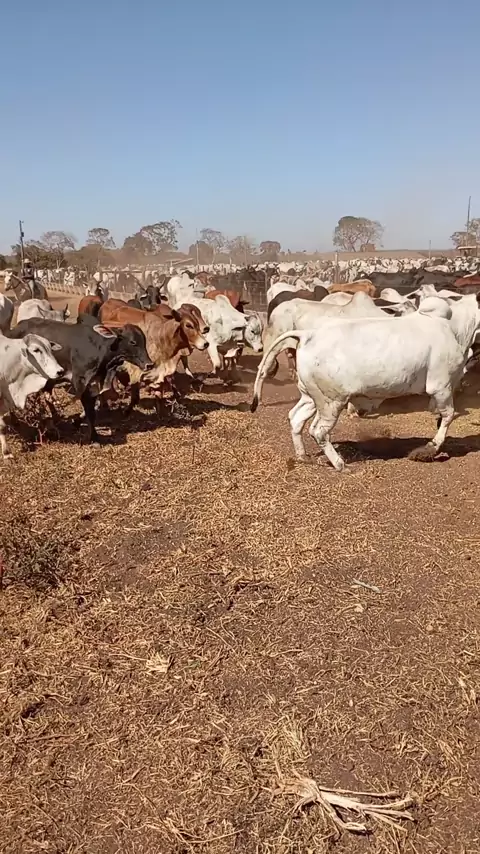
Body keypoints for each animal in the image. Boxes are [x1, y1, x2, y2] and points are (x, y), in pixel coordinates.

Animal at [7, 317, 153, 443]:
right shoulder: (80, 381)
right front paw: (94, 438)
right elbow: (89, 411)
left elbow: (92, 408)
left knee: (47, 394)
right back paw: (15, 422)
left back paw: (55, 419)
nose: (149, 364)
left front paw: (78, 421)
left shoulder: (95, 382)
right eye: (133, 342)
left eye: (144, 341)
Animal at [251, 294, 480, 470]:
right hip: (331, 402)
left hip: (311, 397)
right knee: (319, 431)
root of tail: (308, 335)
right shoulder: (441, 387)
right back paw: (340, 464)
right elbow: (448, 416)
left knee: (296, 419)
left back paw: (302, 456)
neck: (454, 327)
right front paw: (428, 450)